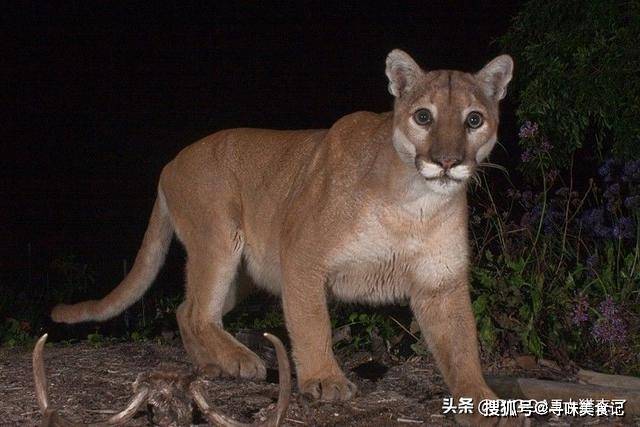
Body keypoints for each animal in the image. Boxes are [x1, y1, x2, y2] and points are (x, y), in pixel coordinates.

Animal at [53, 50, 516, 424]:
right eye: (423, 116)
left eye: (474, 119)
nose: (447, 162)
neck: (413, 205)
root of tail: (170, 163)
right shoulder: (302, 255)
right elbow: (312, 323)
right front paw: (325, 380)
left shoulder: (441, 281)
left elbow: (461, 345)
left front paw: (480, 400)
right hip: (219, 239)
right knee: (200, 312)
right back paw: (241, 360)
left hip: (242, 274)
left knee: (187, 309)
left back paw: (213, 365)